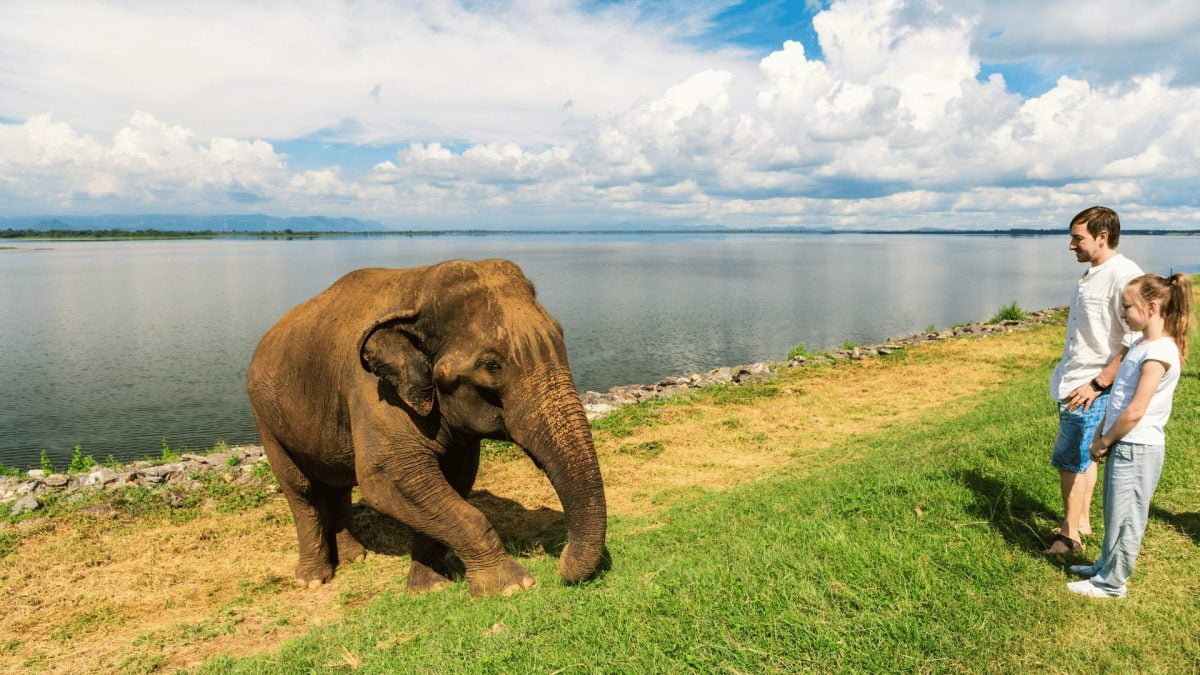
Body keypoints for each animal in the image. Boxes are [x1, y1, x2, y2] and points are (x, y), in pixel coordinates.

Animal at [244, 255, 604, 593]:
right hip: (265, 418)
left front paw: (430, 584)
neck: (419, 286)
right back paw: (314, 579)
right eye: (491, 365)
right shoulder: (374, 391)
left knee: (338, 485)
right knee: (300, 491)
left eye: (561, 337)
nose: (561, 562)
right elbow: (387, 478)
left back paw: (355, 558)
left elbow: (456, 475)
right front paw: (512, 585)